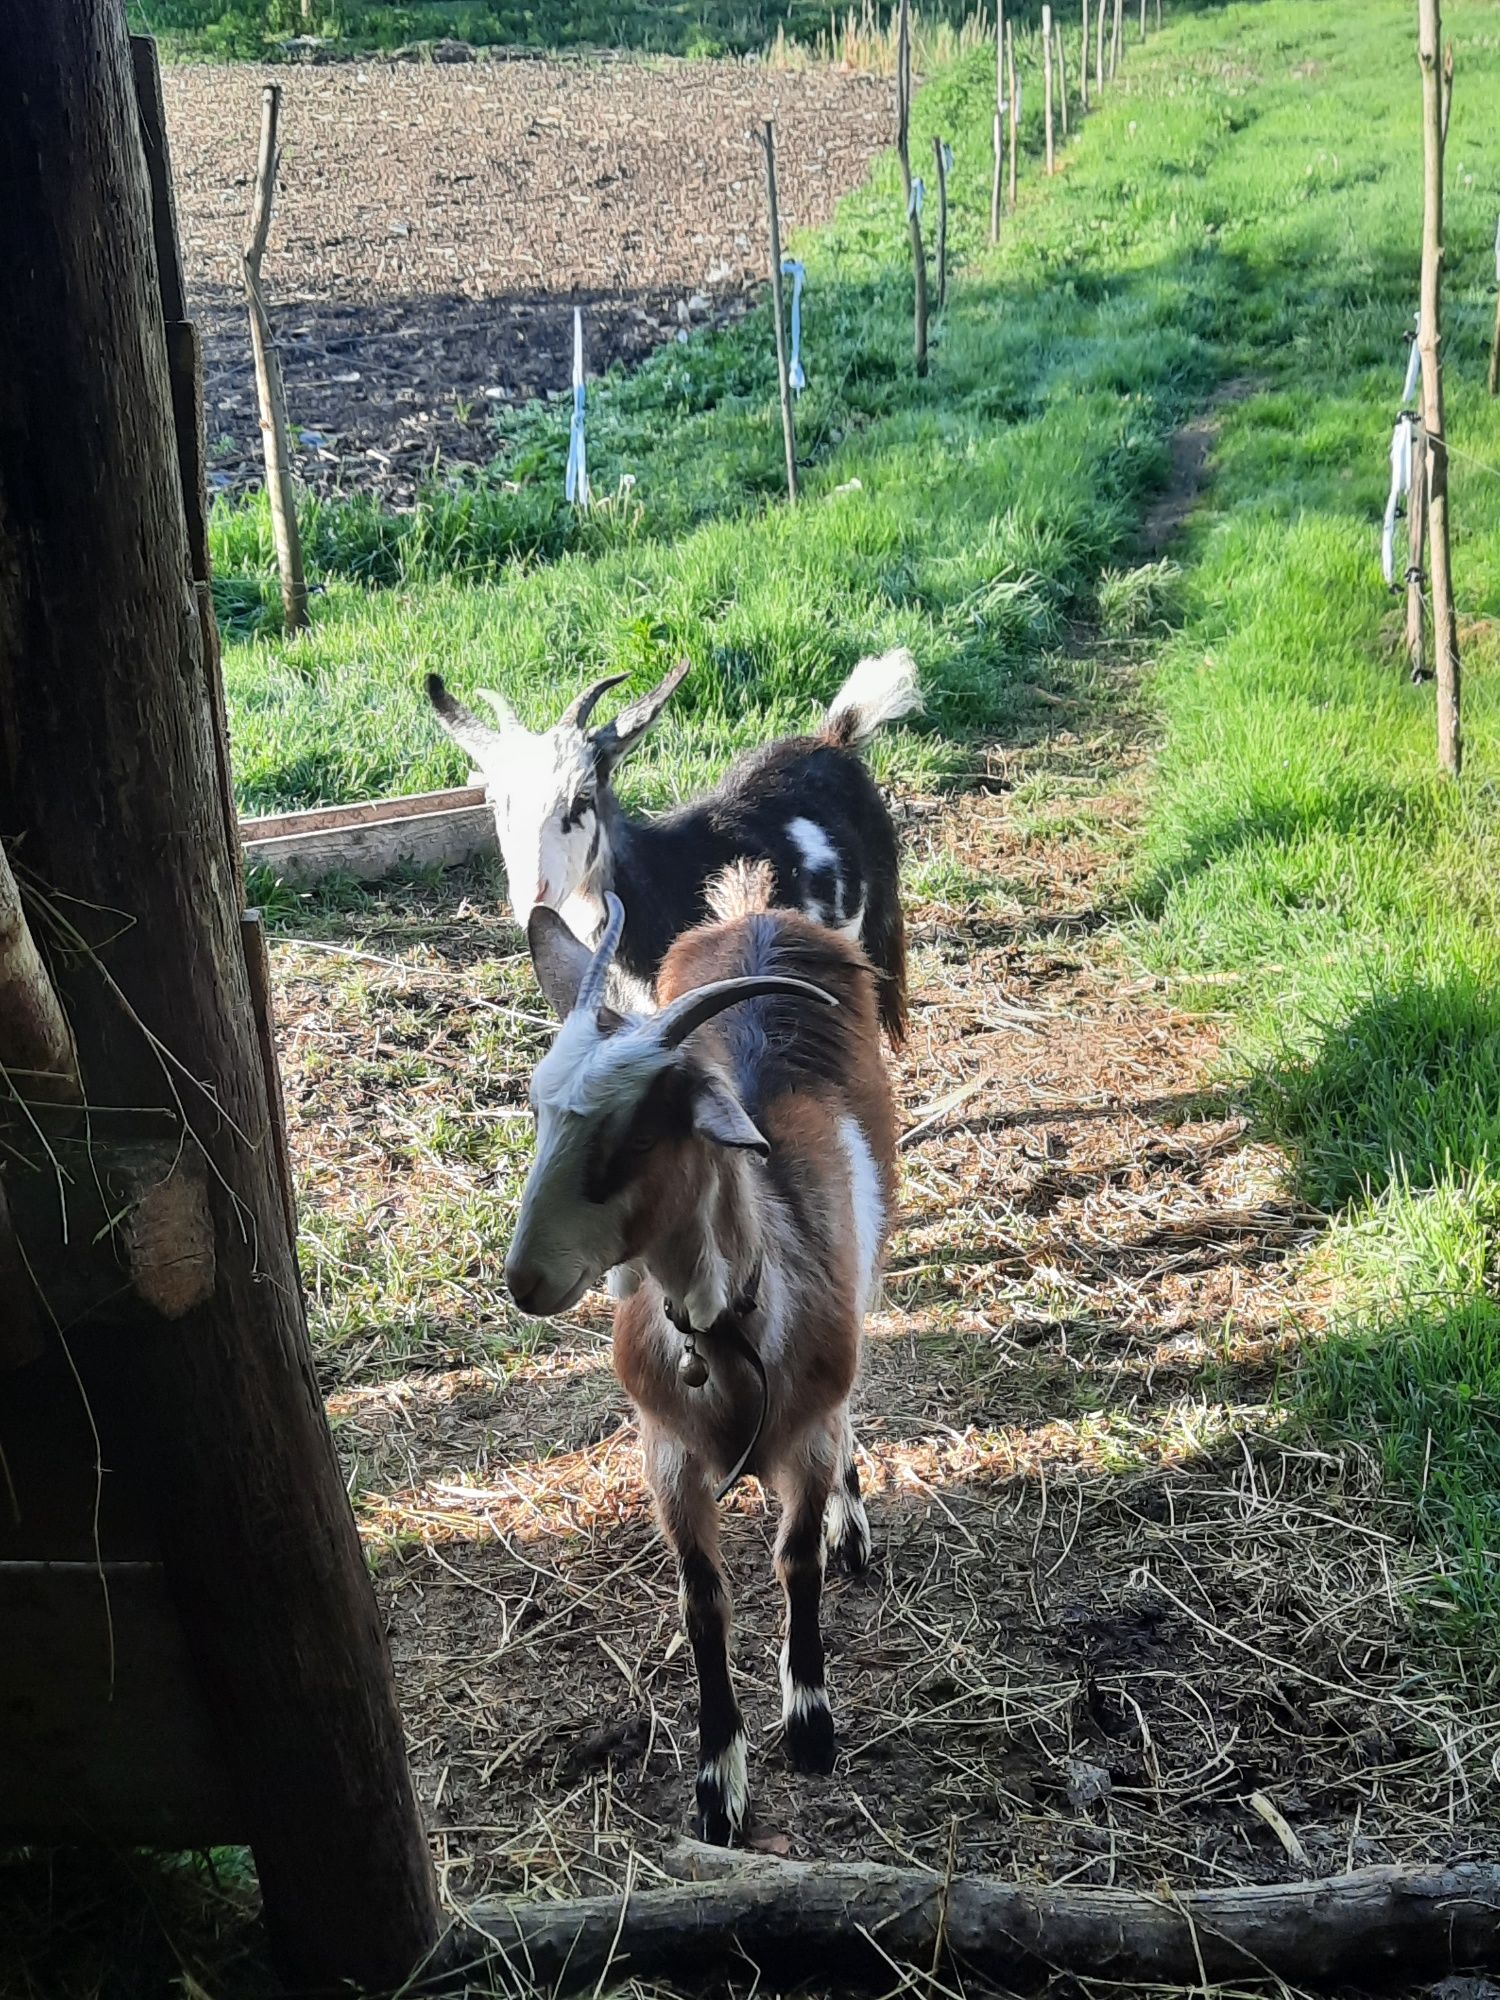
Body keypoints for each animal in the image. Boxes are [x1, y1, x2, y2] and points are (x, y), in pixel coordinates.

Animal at [512, 868, 900, 1832]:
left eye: (636, 1135)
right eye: (539, 1110)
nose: (524, 1279)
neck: (727, 1333)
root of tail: (757, 908)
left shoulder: (805, 1436)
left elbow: (796, 1561)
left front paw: (809, 1724)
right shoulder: (668, 1456)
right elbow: (703, 1599)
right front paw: (719, 1780)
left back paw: (853, 1525)